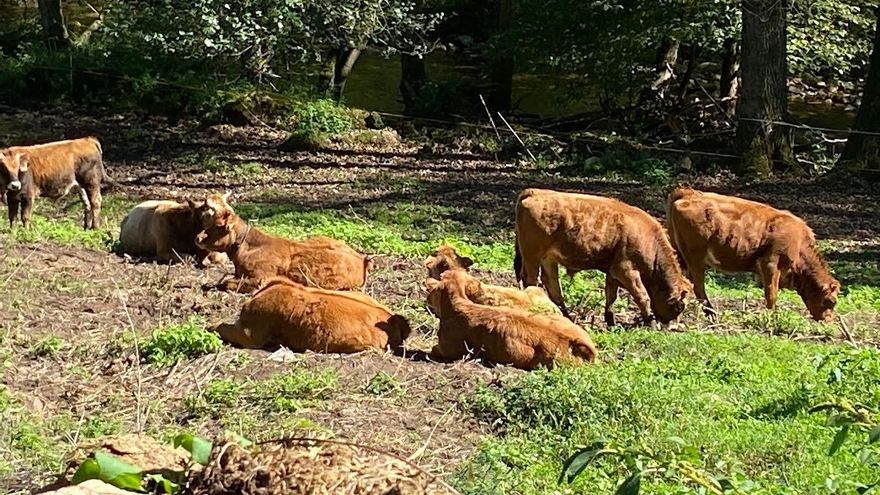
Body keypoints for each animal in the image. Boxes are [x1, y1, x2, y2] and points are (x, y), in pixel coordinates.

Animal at [196, 193, 371, 292]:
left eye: (219, 225)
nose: (198, 238)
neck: (249, 247)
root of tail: (362, 259)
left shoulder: (260, 277)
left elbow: (227, 283)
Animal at [514, 188, 691, 326]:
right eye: (679, 307)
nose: (671, 326)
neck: (651, 243)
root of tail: (534, 192)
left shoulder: (613, 271)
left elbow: (611, 296)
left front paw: (610, 321)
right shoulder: (626, 270)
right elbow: (642, 296)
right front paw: (651, 322)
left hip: (548, 259)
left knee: (553, 287)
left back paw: (567, 317)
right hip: (532, 256)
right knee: (531, 281)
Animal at [667, 187, 841, 322]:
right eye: (830, 301)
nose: (828, 321)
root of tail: (688, 193)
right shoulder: (770, 264)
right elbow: (771, 293)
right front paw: (772, 317)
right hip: (695, 257)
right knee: (698, 286)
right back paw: (711, 313)